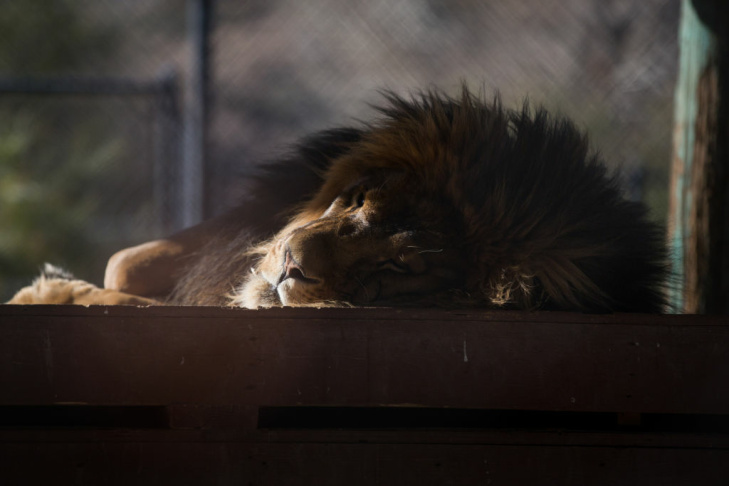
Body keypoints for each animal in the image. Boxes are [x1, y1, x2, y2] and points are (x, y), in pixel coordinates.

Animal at [7, 87, 668, 312]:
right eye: (357, 201)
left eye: (400, 265)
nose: (289, 265)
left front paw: (49, 292)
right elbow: (123, 267)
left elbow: (131, 301)